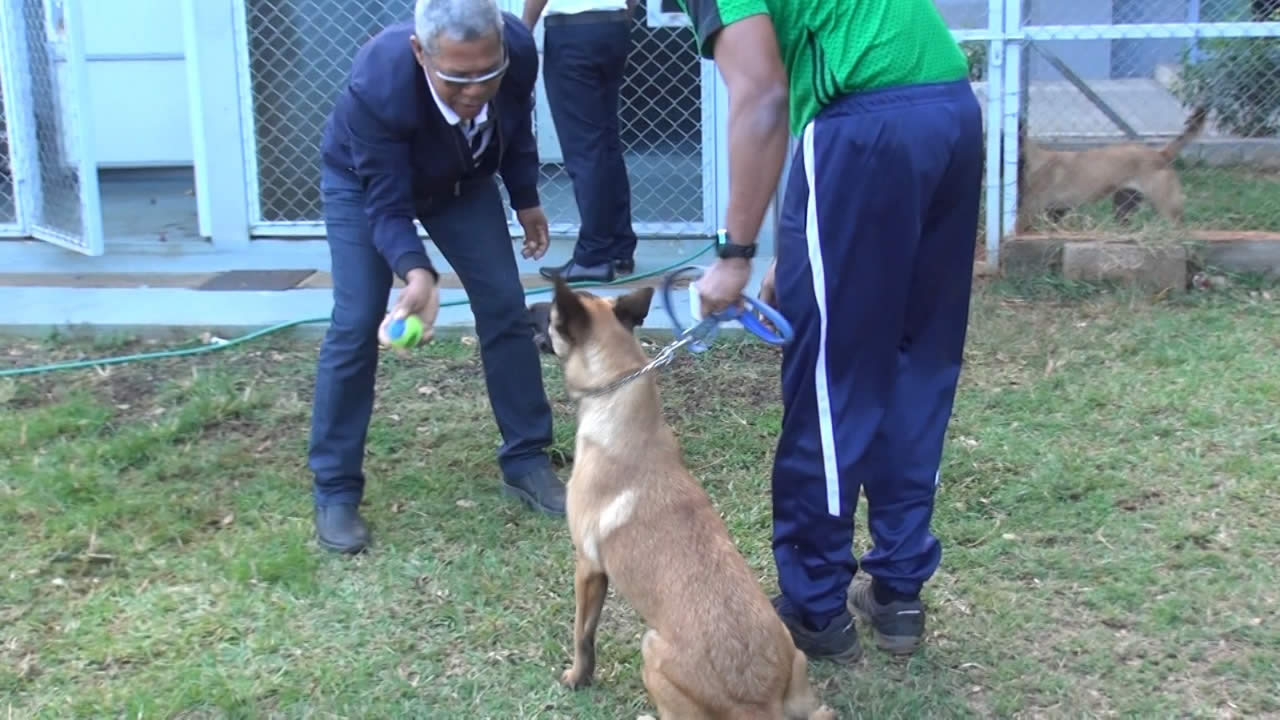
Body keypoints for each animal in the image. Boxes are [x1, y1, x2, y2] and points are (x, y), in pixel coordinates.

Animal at [527, 275, 834, 717]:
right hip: (798, 662)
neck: (616, 401)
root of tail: (759, 703)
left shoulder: (588, 567)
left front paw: (576, 678)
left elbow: (582, 635)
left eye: (550, 312)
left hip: (650, 649)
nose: (524, 307)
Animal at [1013, 105, 1203, 233]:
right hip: (1123, 207)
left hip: (1167, 209)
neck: (1030, 159)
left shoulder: (1027, 214)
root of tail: (1160, 154)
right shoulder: (1055, 213)